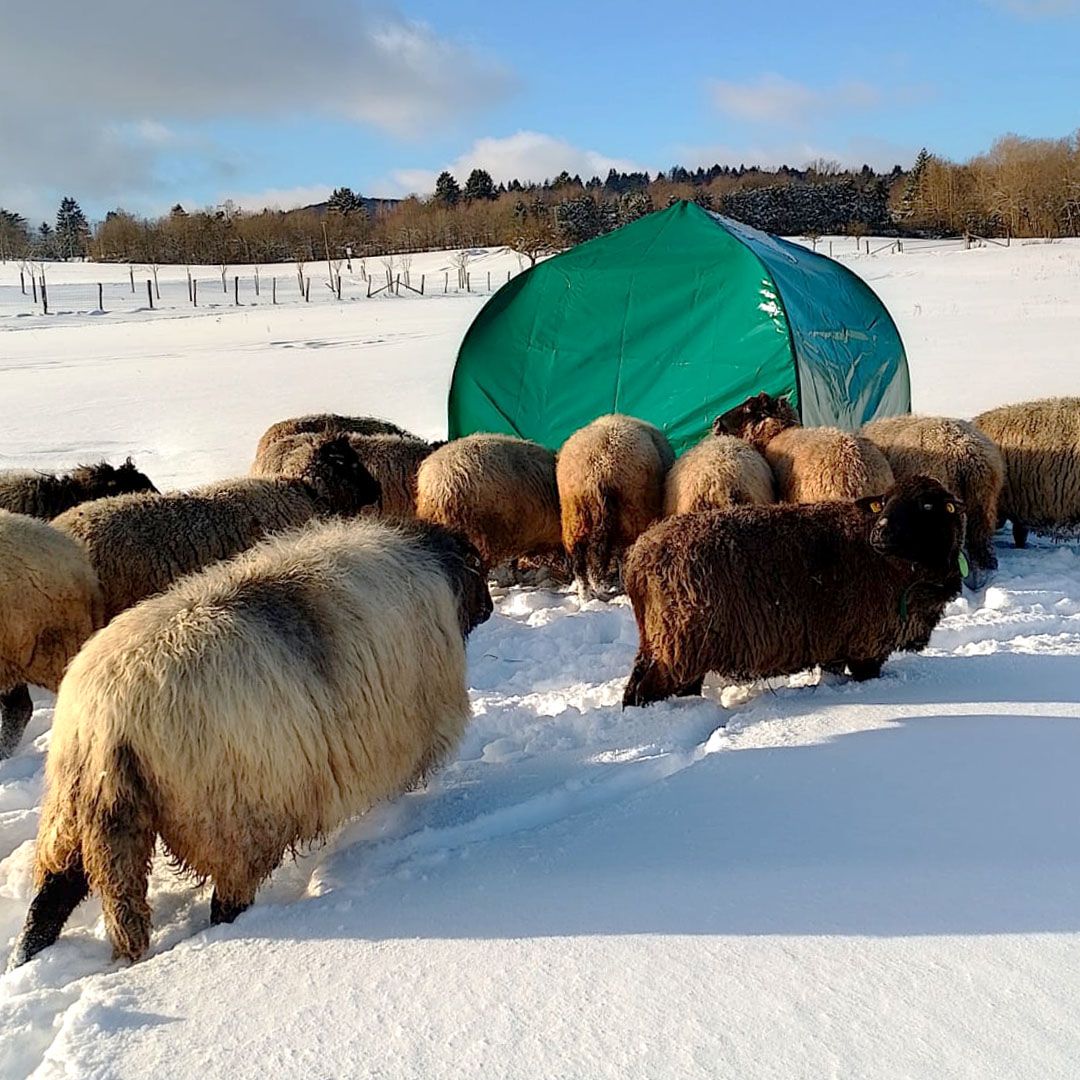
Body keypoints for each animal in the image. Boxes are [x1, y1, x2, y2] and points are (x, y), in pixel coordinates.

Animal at [9, 517, 493, 967]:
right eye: (478, 568)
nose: (489, 608)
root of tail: (106, 720)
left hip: (79, 807)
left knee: (52, 895)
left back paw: (23, 959)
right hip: (231, 819)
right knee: (226, 902)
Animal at [556, 414, 674, 599]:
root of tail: (597, 467)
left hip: (574, 515)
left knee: (579, 558)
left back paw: (585, 595)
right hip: (632, 511)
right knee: (621, 552)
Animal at [622, 475, 966, 708]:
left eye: (926, 506)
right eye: (885, 502)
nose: (880, 533)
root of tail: (639, 556)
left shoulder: (838, 641)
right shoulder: (867, 645)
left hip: (663, 642)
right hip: (680, 644)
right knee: (645, 690)